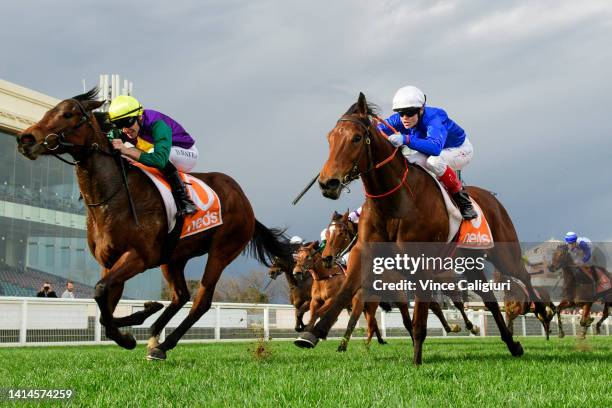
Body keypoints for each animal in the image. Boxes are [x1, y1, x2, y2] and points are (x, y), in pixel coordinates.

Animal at [16, 89, 290, 360]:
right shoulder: (110, 262)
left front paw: (132, 330)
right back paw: (154, 334)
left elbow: (100, 291)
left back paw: (163, 345)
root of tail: (245, 201)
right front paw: (139, 319)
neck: (114, 196)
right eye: (48, 111)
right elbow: (104, 305)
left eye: (68, 114)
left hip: (221, 252)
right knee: (181, 296)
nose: (25, 139)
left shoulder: (139, 257)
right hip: (174, 257)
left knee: (200, 302)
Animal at [294, 92, 552, 364]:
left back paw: (541, 310)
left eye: (356, 138)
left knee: (523, 275)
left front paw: (417, 362)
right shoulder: (367, 256)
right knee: (491, 300)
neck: (396, 202)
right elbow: (344, 296)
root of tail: (492, 198)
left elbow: (419, 318)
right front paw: (311, 334)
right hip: (469, 263)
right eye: (330, 138)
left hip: (503, 252)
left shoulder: (421, 265)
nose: (327, 183)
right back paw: (513, 345)